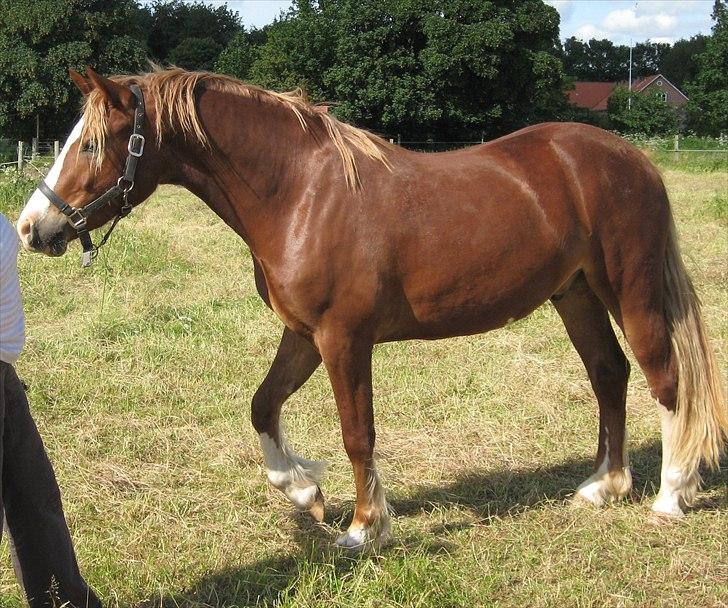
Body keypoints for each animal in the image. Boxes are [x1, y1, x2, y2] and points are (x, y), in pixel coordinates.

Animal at [17, 69, 728, 548]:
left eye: (91, 144)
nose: (31, 228)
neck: (300, 192)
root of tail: (632, 159)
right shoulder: (303, 334)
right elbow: (263, 405)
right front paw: (305, 491)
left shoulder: (343, 339)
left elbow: (358, 434)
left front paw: (363, 527)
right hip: (573, 294)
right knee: (609, 375)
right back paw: (603, 486)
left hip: (628, 289)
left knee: (664, 379)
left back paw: (670, 495)